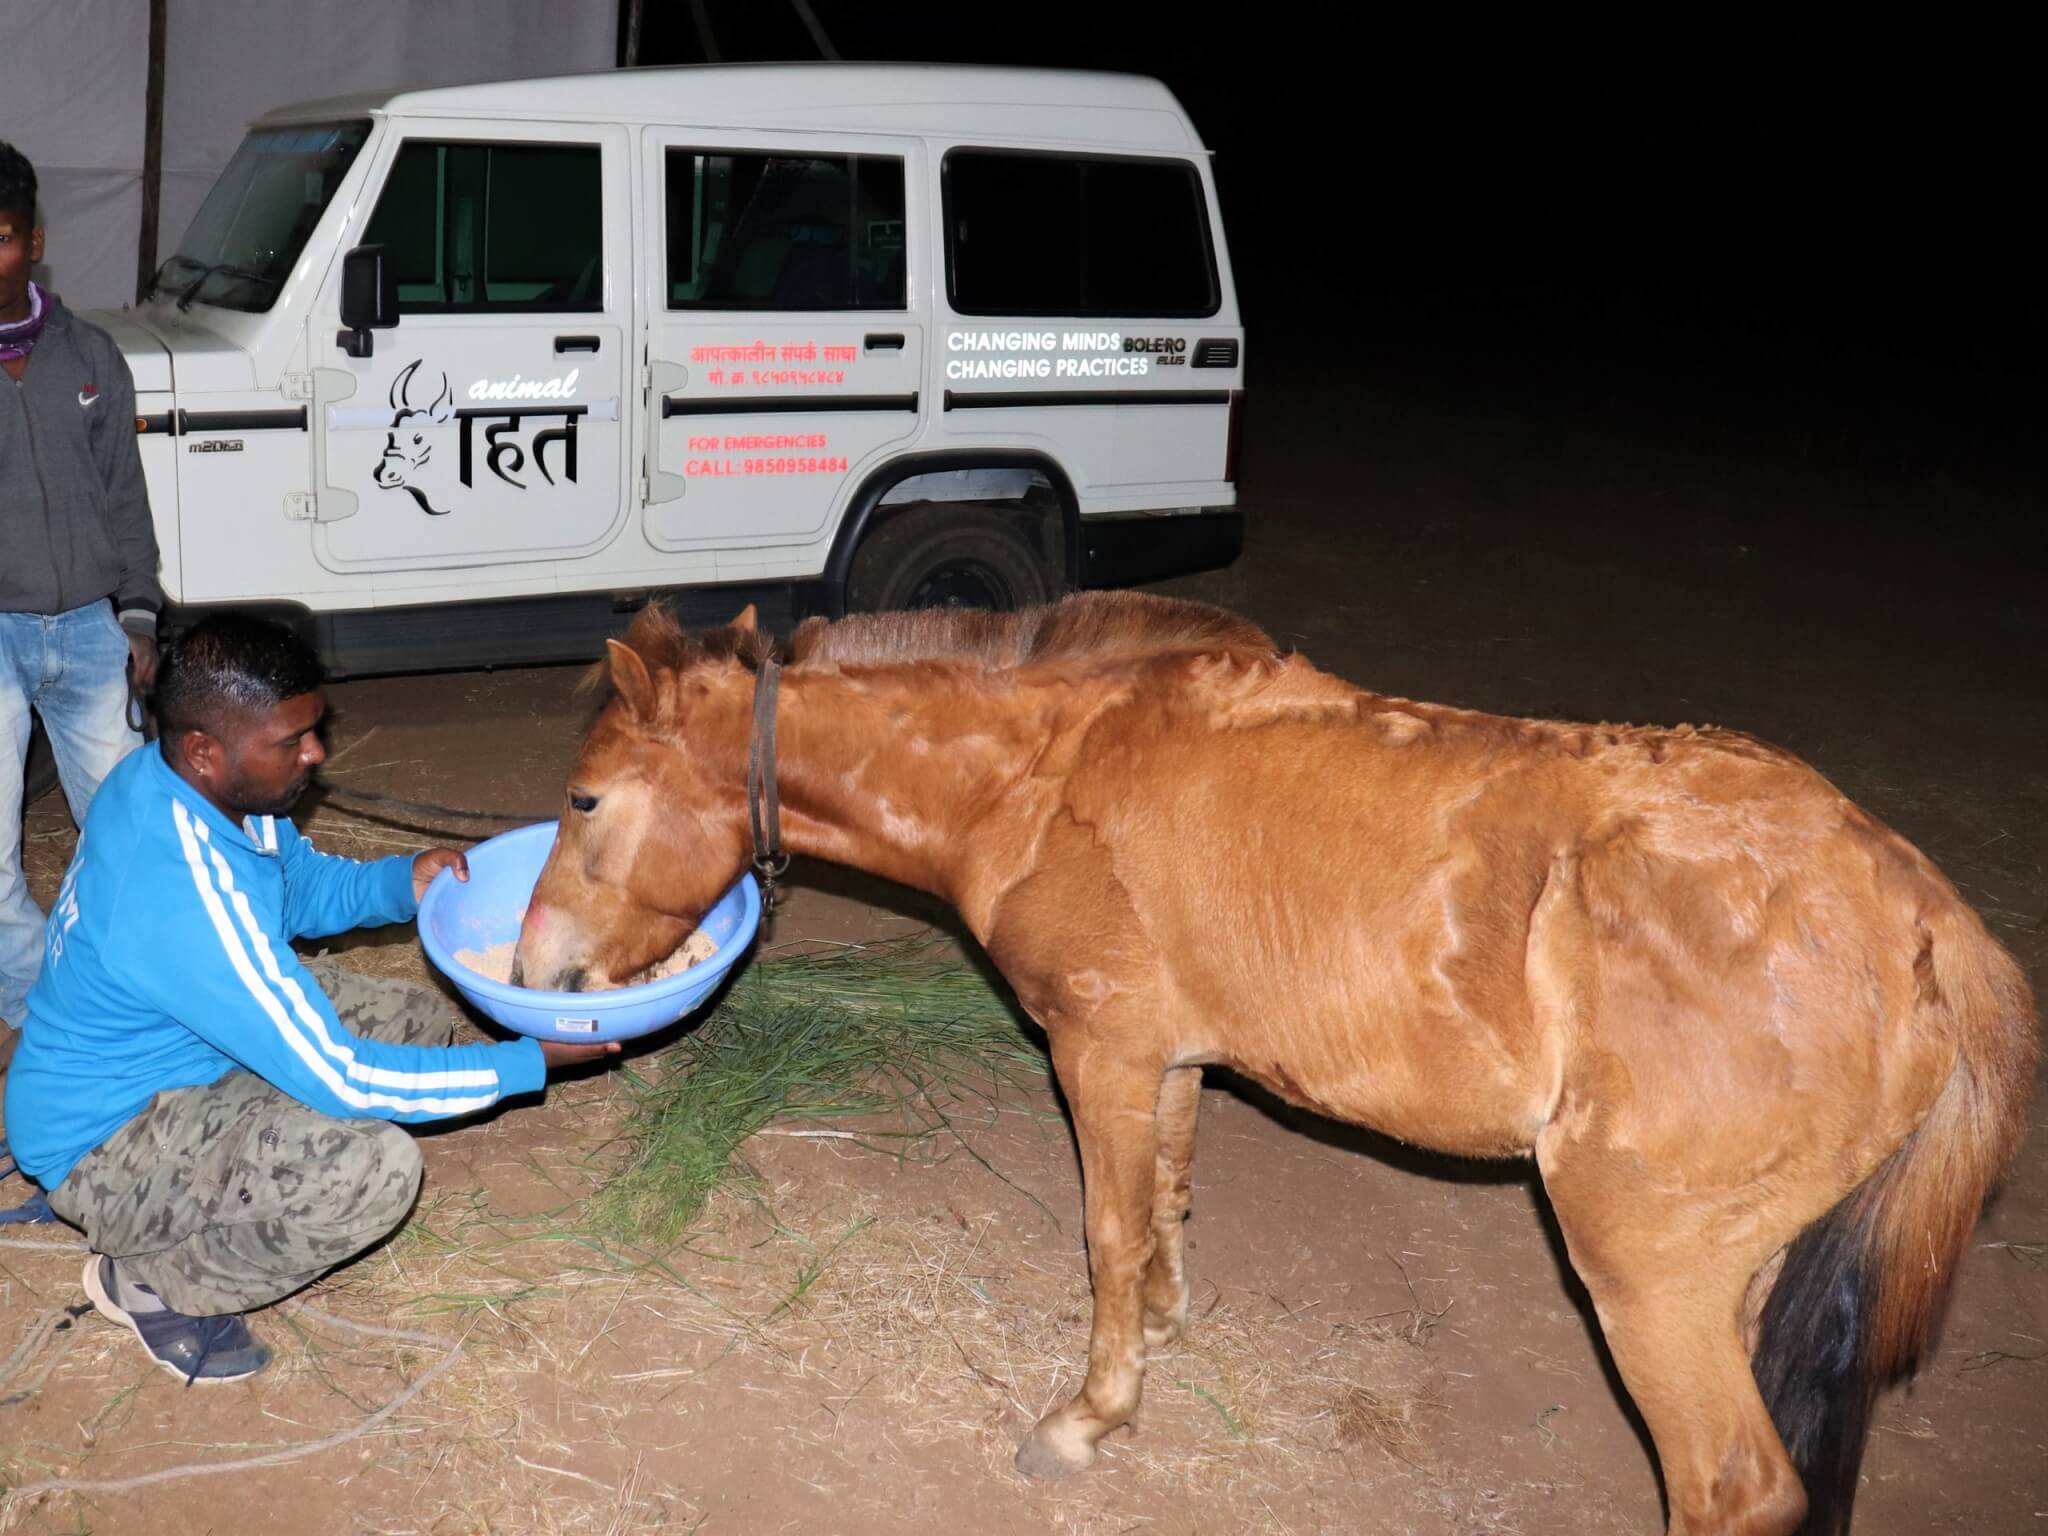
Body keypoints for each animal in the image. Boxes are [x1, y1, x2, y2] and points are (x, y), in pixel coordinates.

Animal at [512, 593, 2031, 1536]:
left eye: (584, 800)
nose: (539, 978)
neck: (1049, 768)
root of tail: (1918, 911)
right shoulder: (1168, 1059)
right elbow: (1165, 1204)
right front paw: (1162, 1331)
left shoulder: (1100, 1052)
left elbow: (1106, 1231)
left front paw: (1089, 1417)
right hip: (1745, 1277)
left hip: (1647, 1275)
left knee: (1732, 1489)